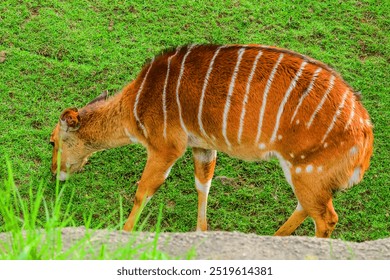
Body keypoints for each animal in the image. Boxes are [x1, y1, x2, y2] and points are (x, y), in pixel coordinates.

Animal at [50, 44, 374, 237]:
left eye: (52, 141)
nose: (55, 172)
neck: (137, 104)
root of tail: (366, 137)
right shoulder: (202, 145)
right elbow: (203, 183)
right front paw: (202, 232)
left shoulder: (165, 146)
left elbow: (144, 190)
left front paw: (124, 233)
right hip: (308, 176)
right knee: (309, 207)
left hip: (305, 171)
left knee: (327, 217)